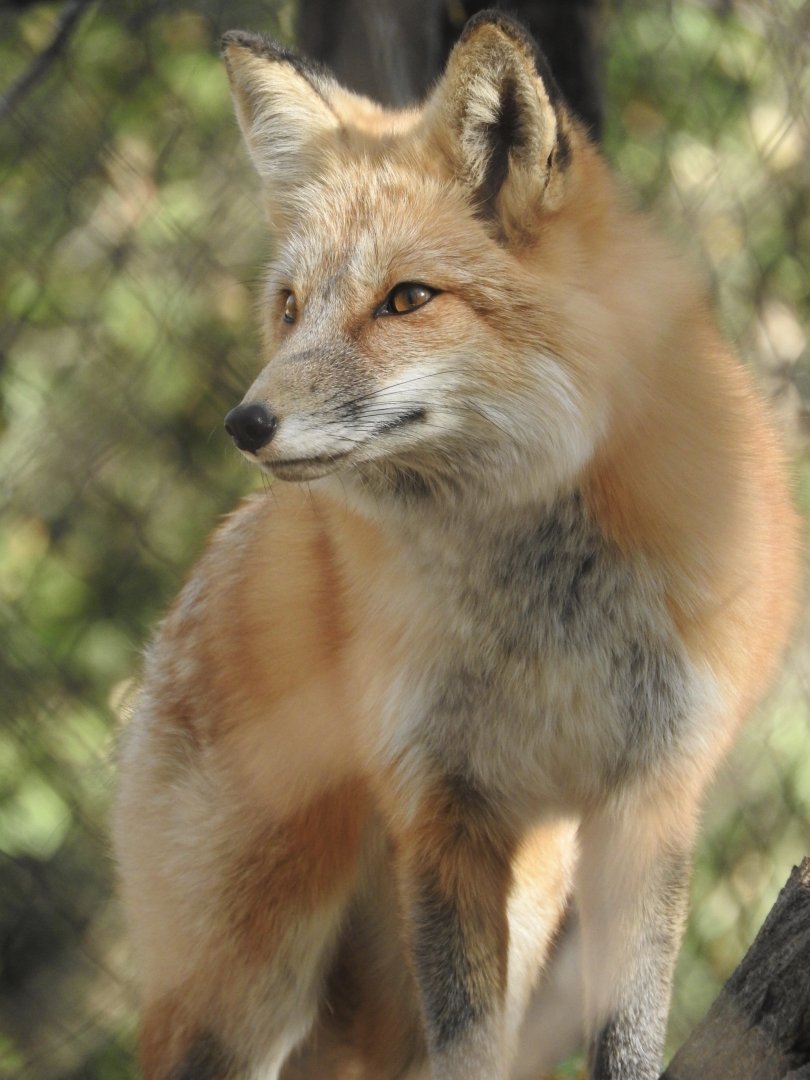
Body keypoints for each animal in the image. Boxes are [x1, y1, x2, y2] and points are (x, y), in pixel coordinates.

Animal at [113, 11, 800, 1080]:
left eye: (406, 300)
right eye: (290, 307)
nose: (245, 424)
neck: (543, 623)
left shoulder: (649, 798)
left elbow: (626, 1032)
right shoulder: (441, 808)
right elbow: (465, 1045)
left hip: (504, 916)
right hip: (243, 976)